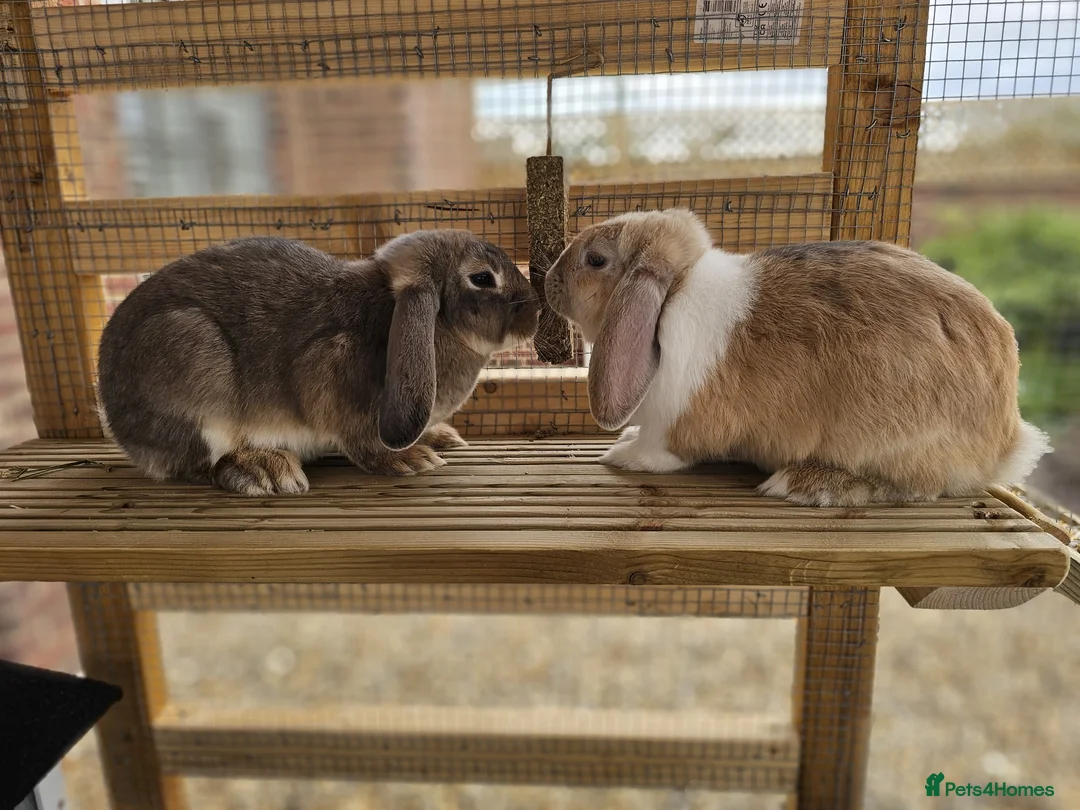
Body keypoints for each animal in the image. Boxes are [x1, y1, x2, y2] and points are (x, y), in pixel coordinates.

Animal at [96, 230, 540, 496]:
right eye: (482, 278)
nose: (534, 313)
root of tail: (118, 425)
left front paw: (438, 438)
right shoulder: (330, 376)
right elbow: (362, 442)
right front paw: (407, 459)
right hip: (192, 361)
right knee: (202, 463)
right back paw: (265, 469)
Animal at [543, 208, 1052, 507]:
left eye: (595, 260)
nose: (549, 281)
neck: (672, 295)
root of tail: (1006, 439)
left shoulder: (677, 425)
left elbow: (662, 451)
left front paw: (623, 454)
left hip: (893, 439)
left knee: (914, 486)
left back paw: (806, 484)